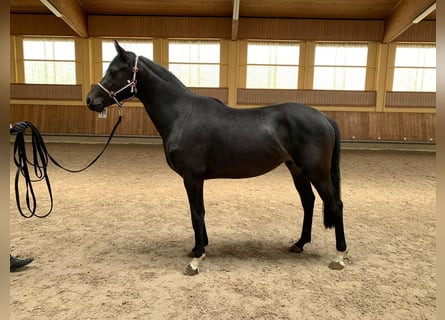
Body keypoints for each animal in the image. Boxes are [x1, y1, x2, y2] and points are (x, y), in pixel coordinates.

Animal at [86, 40, 346, 276]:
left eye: (115, 71)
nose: (90, 100)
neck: (182, 114)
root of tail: (325, 118)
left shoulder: (192, 177)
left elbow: (196, 214)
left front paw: (196, 261)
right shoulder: (195, 179)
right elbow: (198, 212)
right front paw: (198, 249)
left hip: (317, 172)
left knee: (335, 204)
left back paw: (339, 256)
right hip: (297, 169)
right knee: (308, 201)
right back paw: (299, 244)